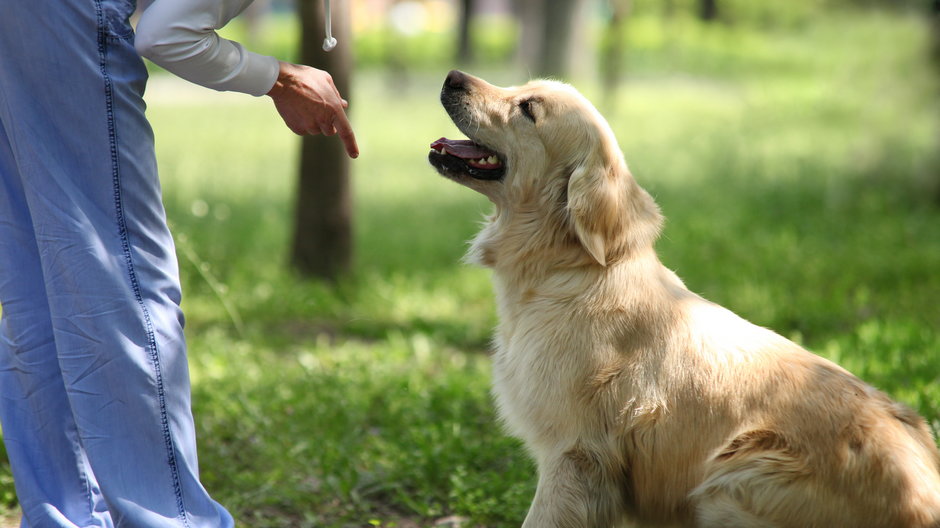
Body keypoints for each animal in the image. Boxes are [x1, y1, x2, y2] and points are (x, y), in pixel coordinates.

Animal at [430, 71, 940, 528]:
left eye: (528, 109)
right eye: (520, 87)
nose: (452, 76)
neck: (569, 269)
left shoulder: (575, 455)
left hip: (731, 479)